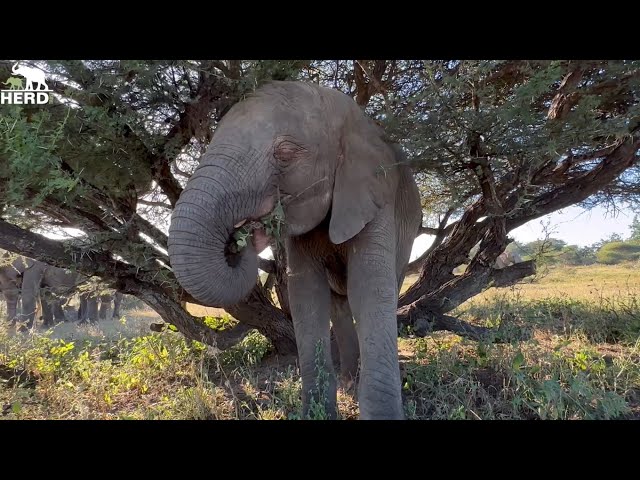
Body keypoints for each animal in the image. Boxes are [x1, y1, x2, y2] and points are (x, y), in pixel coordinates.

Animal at [168, 81, 422, 420]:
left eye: (286, 153)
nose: (244, 235)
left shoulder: (377, 197)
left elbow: (369, 289)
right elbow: (305, 295)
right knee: (338, 305)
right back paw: (350, 382)